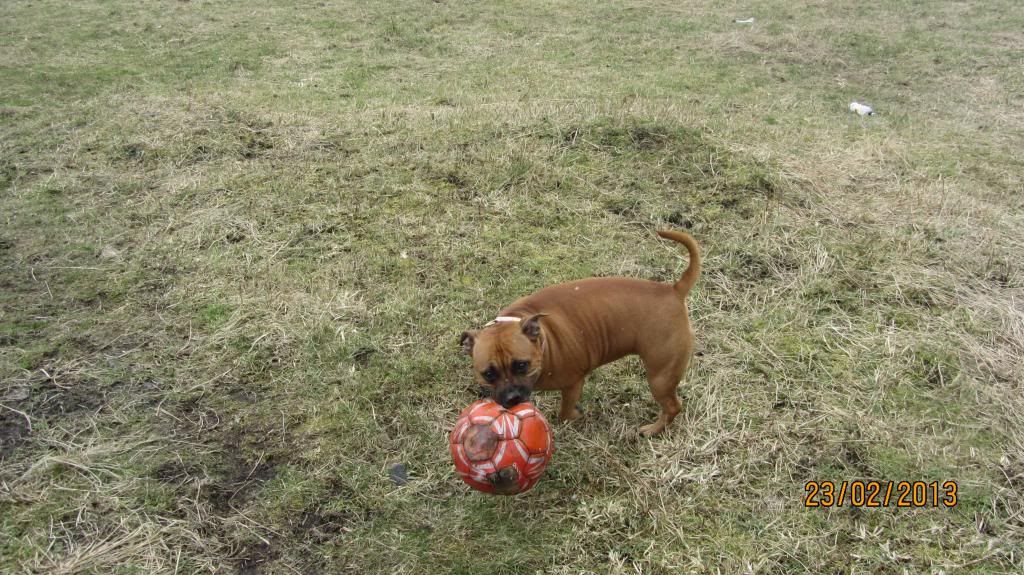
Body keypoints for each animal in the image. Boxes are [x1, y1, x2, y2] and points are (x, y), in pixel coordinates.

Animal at [460, 228, 700, 433]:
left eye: (521, 365)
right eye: (488, 373)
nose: (512, 399)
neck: (543, 341)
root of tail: (673, 290)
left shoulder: (573, 383)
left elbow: (565, 412)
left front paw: (575, 417)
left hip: (660, 377)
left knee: (672, 406)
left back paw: (653, 430)